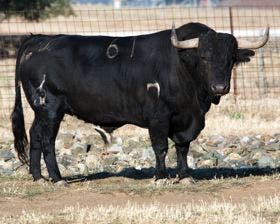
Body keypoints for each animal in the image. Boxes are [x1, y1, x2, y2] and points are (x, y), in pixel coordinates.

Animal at [11, 22, 270, 184]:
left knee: (34, 135)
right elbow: (161, 147)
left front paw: (185, 176)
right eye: (204, 57)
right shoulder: (158, 117)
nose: (220, 87)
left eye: (231, 59)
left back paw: (38, 177)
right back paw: (57, 179)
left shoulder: (186, 119)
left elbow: (183, 147)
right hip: (50, 108)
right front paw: (161, 177)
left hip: (41, 111)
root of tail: (38, 40)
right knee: (47, 140)